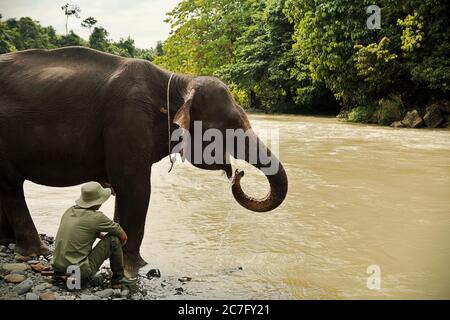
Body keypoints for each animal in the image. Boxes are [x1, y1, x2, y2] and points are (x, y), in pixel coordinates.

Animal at [0, 46, 286, 274]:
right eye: (232, 123)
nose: (238, 174)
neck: (176, 80)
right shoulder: (128, 119)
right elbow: (135, 188)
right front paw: (139, 266)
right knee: (11, 186)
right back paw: (36, 252)